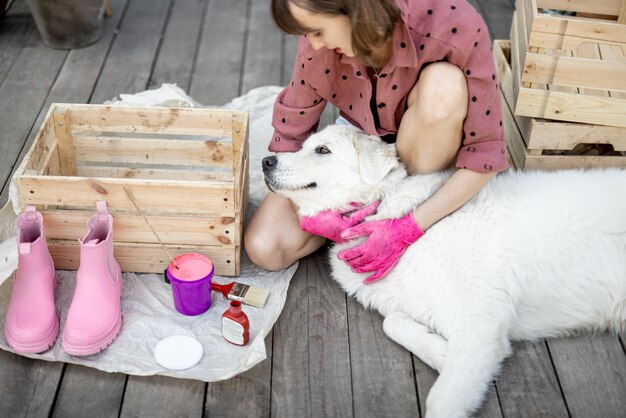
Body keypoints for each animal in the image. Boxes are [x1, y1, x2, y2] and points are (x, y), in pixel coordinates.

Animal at [262, 124, 624, 418]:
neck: (384, 207)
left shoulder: (479, 324)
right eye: (303, 145)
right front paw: (442, 352)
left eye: (322, 150)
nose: (267, 161)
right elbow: (394, 324)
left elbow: (443, 399)